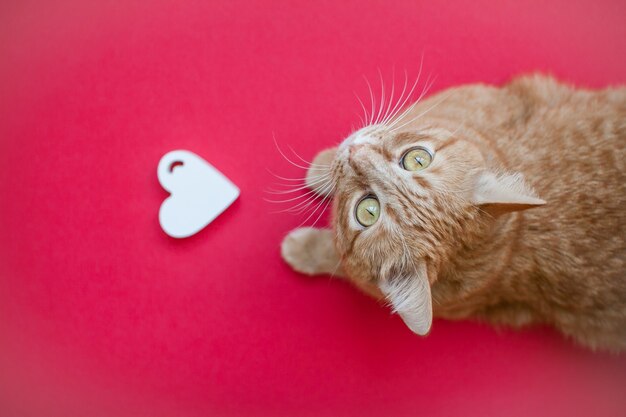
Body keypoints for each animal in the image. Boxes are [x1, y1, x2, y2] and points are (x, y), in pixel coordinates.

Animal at [280, 75, 624, 352]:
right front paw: (325, 168)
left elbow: (338, 259)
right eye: (417, 158)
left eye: (368, 211)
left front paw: (305, 246)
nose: (354, 153)